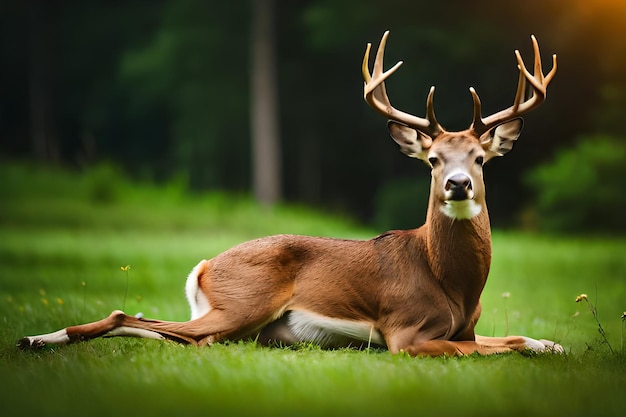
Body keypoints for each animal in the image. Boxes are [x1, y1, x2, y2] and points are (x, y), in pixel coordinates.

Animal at [17, 31, 560, 354]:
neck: (454, 286)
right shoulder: (404, 332)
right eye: (433, 160)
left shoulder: (467, 325)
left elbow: (515, 337)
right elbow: (476, 349)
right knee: (141, 320)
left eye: (480, 158)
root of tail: (205, 266)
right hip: (243, 303)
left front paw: (556, 346)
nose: (457, 183)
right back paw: (35, 338)